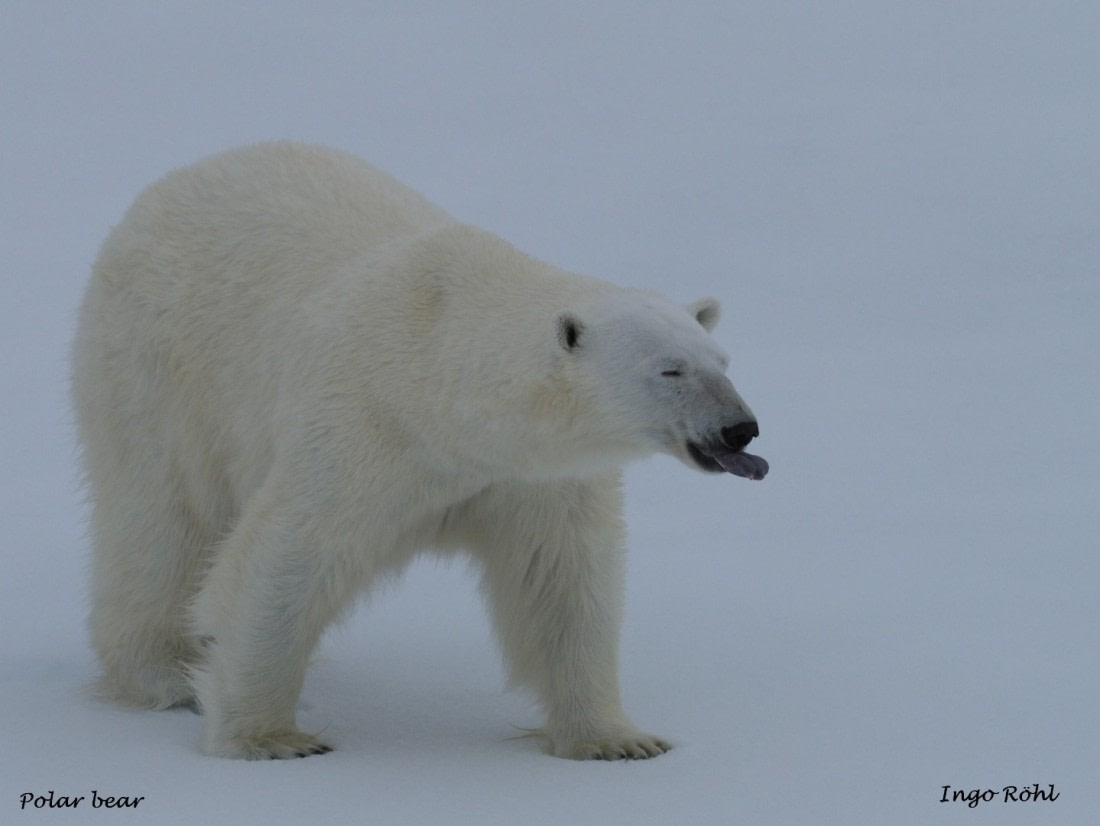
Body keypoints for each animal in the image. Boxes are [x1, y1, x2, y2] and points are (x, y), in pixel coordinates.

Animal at [71, 142, 767, 761]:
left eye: (723, 361)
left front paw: (616, 740)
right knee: (162, 523)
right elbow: (287, 555)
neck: (436, 377)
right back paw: (164, 674)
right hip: (159, 367)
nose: (741, 430)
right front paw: (268, 738)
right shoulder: (360, 428)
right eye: (670, 370)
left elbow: (562, 578)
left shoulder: (532, 476)